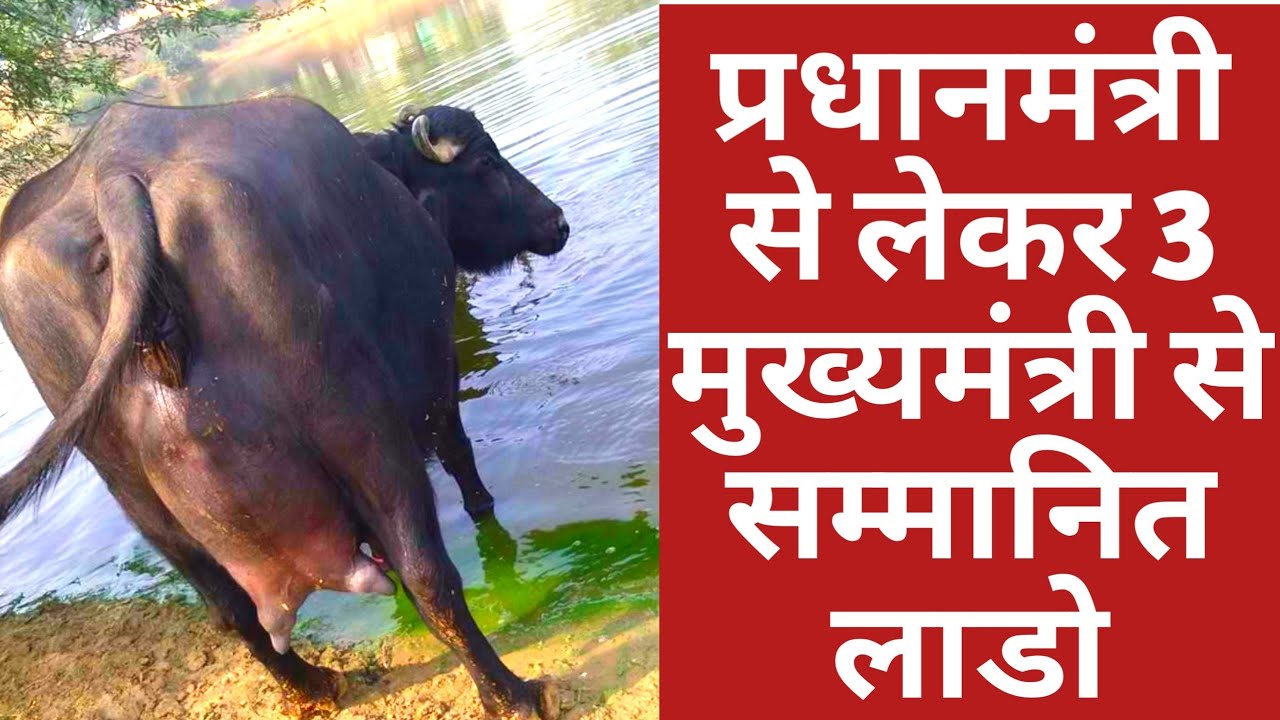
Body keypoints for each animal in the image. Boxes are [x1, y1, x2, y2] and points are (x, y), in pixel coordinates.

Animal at [0, 97, 567, 718]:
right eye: (486, 162)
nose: (558, 221)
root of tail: (113, 187)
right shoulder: (437, 365)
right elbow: (460, 458)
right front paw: (484, 508)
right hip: (362, 431)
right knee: (427, 571)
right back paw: (513, 694)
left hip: (137, 495)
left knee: (231, 612)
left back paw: (315, 685)